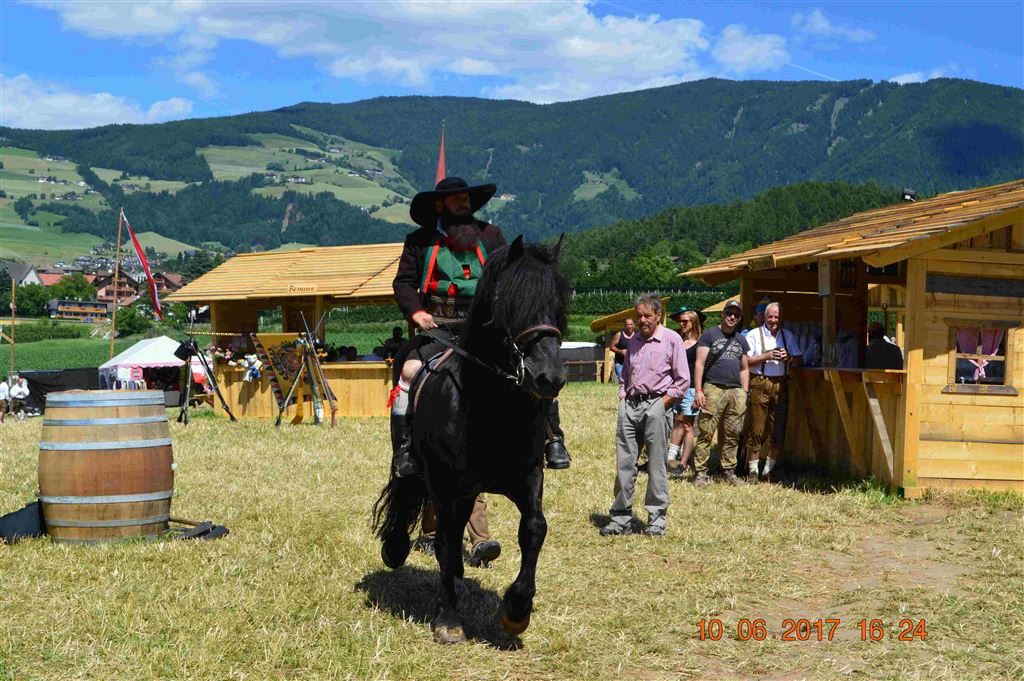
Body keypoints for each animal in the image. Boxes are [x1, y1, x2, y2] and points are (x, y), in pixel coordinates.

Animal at [372, 235, 570, 644]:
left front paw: (516, 610)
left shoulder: (528, 479)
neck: (492, 407)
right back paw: (398, 547)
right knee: (412, 496)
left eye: (558, 303)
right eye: (512, 303)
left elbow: (534, 528)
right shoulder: (452, 486)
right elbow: (447, 540)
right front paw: (448, 618)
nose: (550, 377)